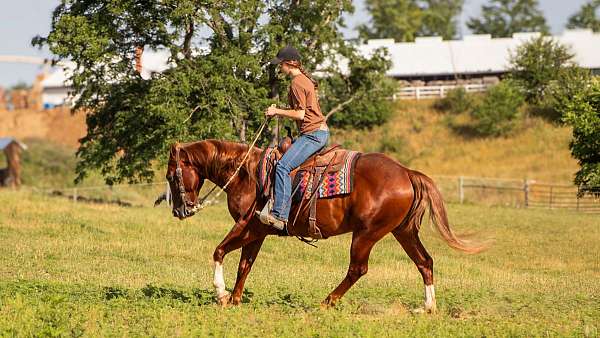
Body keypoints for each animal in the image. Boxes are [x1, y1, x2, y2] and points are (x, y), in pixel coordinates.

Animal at [164, 139, 482, 310]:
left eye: (170, 176)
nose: (180, 210)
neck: (248, 174)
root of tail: (406, 172)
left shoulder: (249, 227)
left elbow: (219, 251)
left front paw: (221, 294)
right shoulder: (259, 232)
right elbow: (245, 265)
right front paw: (234, 299)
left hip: (367, 234)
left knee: (358, 269)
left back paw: (327, 301)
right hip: (402, 231)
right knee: (424, 261)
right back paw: (428, 307)